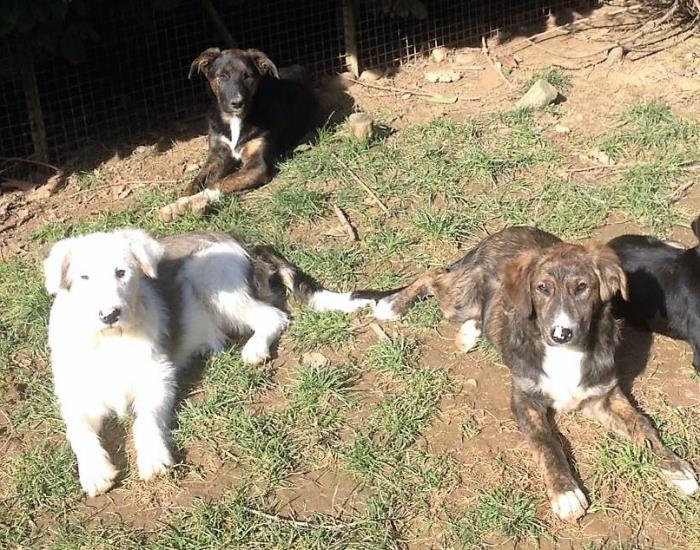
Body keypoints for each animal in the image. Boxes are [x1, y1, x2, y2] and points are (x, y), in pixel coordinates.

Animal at [44, 229, 372, 496]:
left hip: (208, 273)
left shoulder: (158, 377)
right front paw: (94, 471)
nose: (109, 314)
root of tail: (242, 241)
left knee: (273, 316)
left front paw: (152, 456)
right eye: (84, 278)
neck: (109, 340)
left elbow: (144, 420)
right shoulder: (76, 397)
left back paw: (254, 349)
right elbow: (78, 432)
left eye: (121, 272)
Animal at [185, 47, 318, 196]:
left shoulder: (258, 165)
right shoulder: (217, 155)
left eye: (247, 76)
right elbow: (196, 181)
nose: (237, 103)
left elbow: (220, 182)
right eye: (222, 76)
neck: (235, 119)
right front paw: (186, 196)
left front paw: (195, 199)